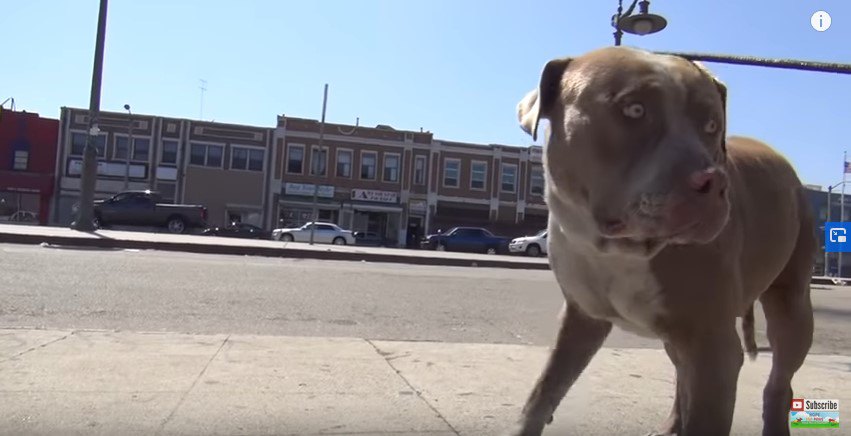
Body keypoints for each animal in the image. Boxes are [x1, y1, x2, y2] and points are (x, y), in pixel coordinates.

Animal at [510, 46, 816, 434]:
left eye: (712, 125)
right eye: (634, 110)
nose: (713, 182)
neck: (619, 251)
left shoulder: (713, 346)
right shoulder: (581, 319)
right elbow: (542, 392)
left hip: (790, 305)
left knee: (779, 378)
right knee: (683, 378)